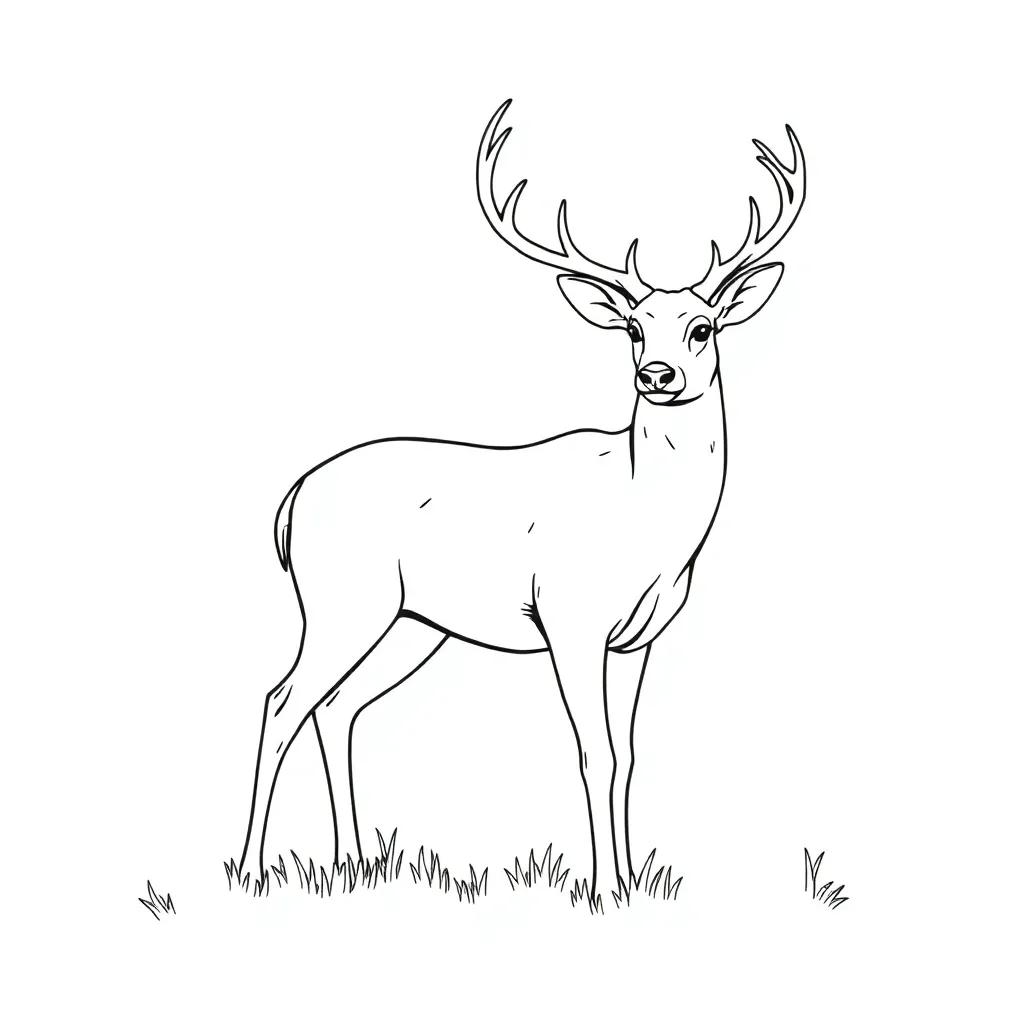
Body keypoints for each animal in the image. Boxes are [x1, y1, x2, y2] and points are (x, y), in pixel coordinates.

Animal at [234, 99, 806, 904]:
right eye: (634, 329)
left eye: (704, 327)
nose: (658, 374)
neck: (649, 527)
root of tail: (289, 504)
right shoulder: (570, 617)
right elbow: (595, 753)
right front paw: (603, 889)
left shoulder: (639, 637)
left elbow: (630, 756)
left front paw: (631, 878)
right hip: (342, 601)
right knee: (283, 701)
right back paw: (253, 868)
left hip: (413, 623)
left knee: (337, 706)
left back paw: (355, 863)